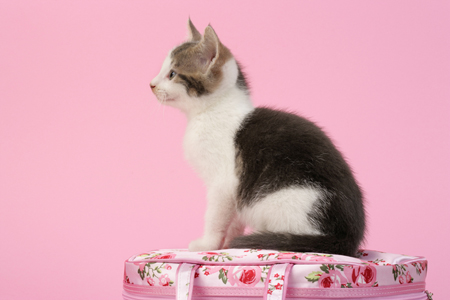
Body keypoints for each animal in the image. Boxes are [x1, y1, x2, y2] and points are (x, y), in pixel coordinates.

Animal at [150, 19, 366, 256]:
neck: (211, 110)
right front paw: (228, 242)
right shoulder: (237, 190)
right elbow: (234, 218)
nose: (151, 84)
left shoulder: (222, 183)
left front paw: (207, 244)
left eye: (172, 74)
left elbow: (215, 217)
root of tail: (348, 238)